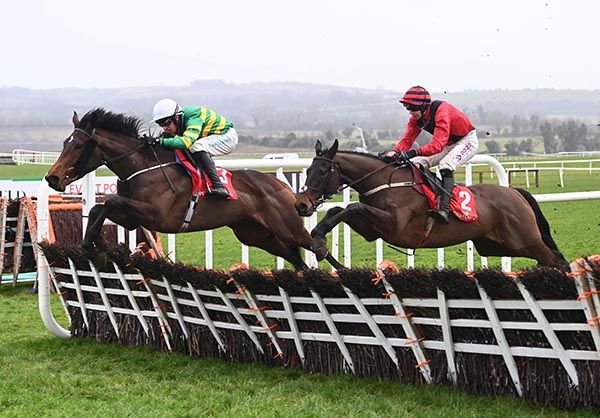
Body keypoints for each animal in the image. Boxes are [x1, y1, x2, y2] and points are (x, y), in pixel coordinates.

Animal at [45, 108, 338, 270]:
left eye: (78, 146)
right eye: (64, 143)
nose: (52, 178)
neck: (144, 167)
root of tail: (281, 185)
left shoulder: (156, 214)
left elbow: (109, 202)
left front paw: (96, 245)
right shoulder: (132, 218)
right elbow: (99, 208)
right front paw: (93, 245)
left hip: (287, 227)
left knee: (315, 246)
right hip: (256, 234)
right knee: (296, 258)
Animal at [298, 140, 568, 270]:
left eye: (322, 171)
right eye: (308, 170)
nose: (301, 205)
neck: (385, 182)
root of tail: (515, 193)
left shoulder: (393, 226)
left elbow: (352, 207)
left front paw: (320, 242)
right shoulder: (371, 231)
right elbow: (340, 210)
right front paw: (319, 240)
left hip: (525, 240)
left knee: (556, 260)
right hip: (496, 246)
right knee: (551, 259)